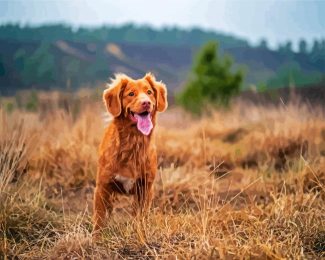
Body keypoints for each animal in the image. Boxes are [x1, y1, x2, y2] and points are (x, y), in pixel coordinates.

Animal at [92, 72, 166, 233]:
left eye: (149, 92)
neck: (133, 143)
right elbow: (99, 220)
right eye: (131, 94)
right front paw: (96, 238)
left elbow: (141, 217)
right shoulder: (103, 186)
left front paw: (141, 233)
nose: (146, 103)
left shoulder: (145, 188)